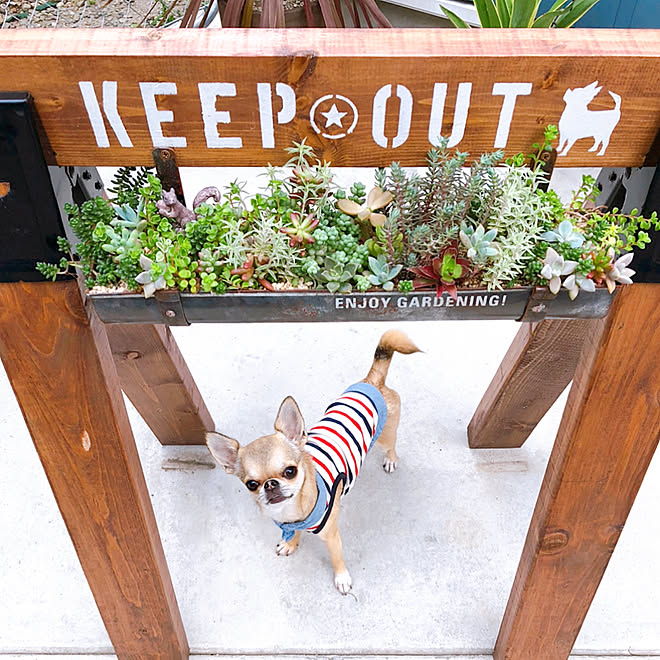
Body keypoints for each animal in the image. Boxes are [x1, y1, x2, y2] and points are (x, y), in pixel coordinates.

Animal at [208, 330, 418, 592]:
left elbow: (337, 558)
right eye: (252, 484)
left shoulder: (331, 536)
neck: (290, 513)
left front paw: (341, 578)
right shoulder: (293, 524)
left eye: (290, 471)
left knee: (392, 444)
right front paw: (291, 543)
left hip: (385, 437)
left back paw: (390, 459)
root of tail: (372, 382)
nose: (271, 484)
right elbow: (295, 534)